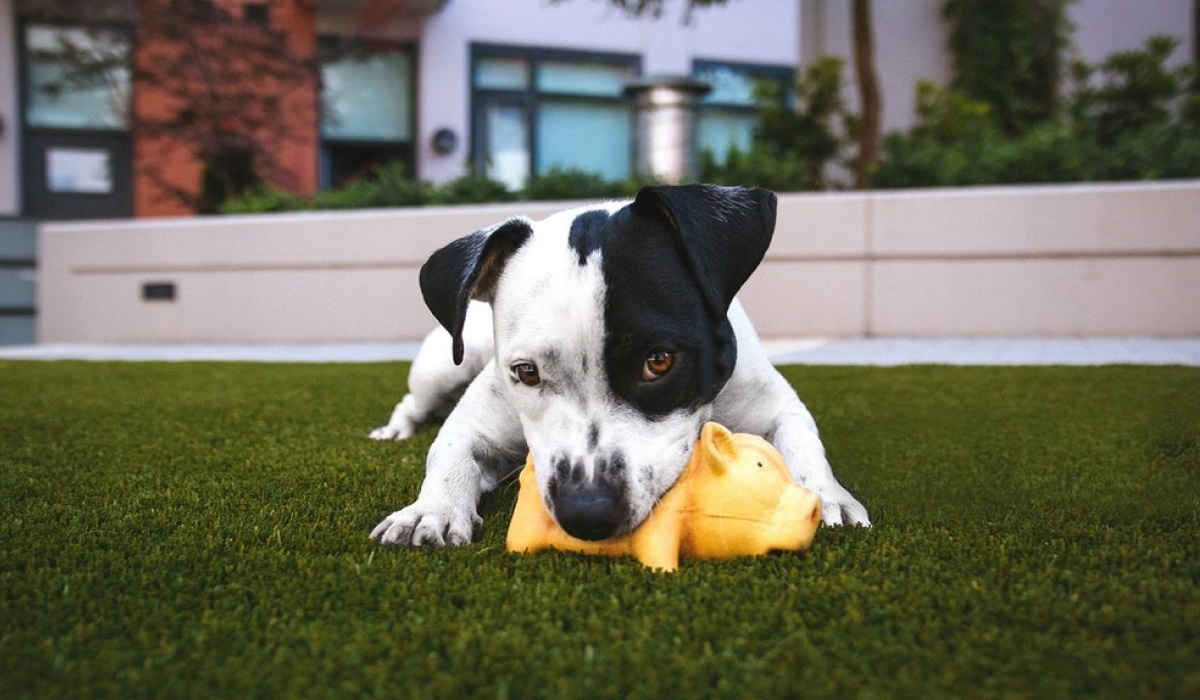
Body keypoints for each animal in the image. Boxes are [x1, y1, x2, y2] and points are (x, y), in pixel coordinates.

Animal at [369, 182, 868, 547]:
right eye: (526, 372)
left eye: (659, 361)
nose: (586, 513)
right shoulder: (476, 424)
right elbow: (450, 453)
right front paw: (430, 510)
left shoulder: (776, 405)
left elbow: (802, 441)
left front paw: (825, 495)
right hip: (444, 366)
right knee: (413, 402)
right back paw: (394, 430)